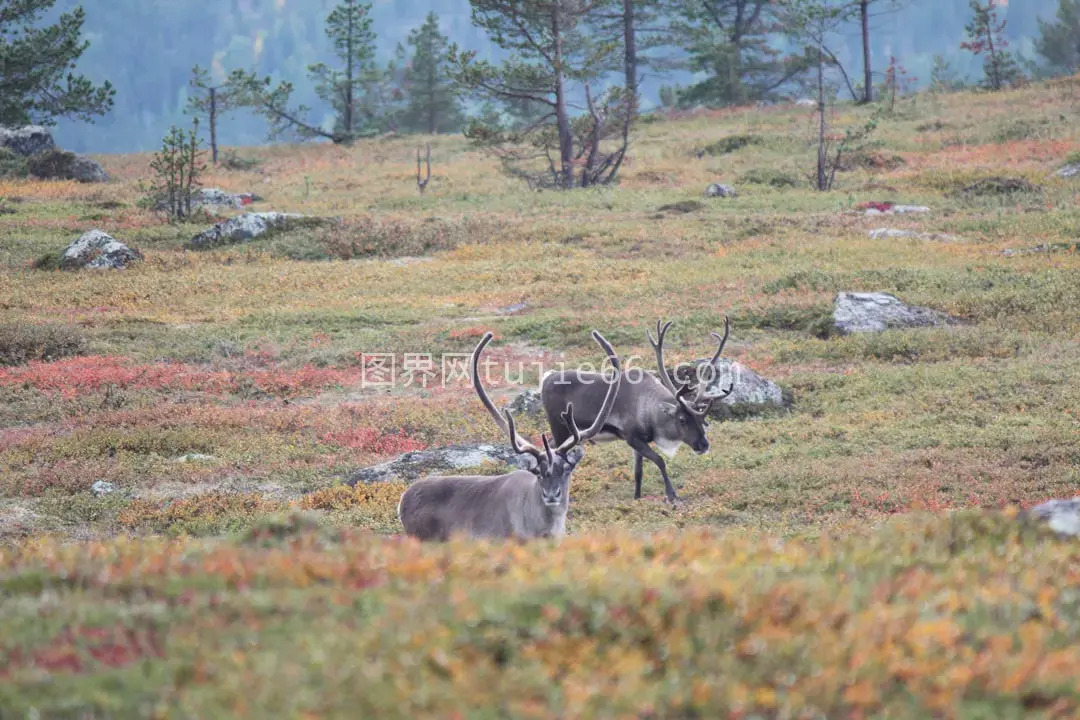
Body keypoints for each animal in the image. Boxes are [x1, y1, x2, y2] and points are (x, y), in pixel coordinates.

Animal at [540, 315, 734, 507]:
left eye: (701, 419)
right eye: (682, 419)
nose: (704, 445)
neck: (649, 411)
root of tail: (546, 379)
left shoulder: (639, 441)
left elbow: (638, 472)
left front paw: (637, 498)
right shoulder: (632, 437)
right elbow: (660, 460)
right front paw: (671, 495)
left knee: (549, 446)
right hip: (559, 426)